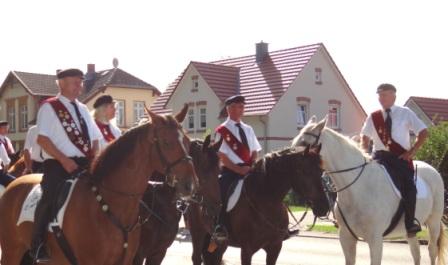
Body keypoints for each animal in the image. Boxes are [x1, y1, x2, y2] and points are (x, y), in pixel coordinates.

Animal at [200, 145, 328, 264]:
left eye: (321, 172)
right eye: (305, 171)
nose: (324, 207)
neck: (267, 203)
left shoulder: (275, 248)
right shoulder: (246, 250)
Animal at [292, 116, 446, 264]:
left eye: (305, 143)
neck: (357, 189)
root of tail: (433, 170)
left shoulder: (375, 240)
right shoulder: (346, 237)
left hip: (433, 222)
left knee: (431, 250)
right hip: (410, 231)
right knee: (416, 253)